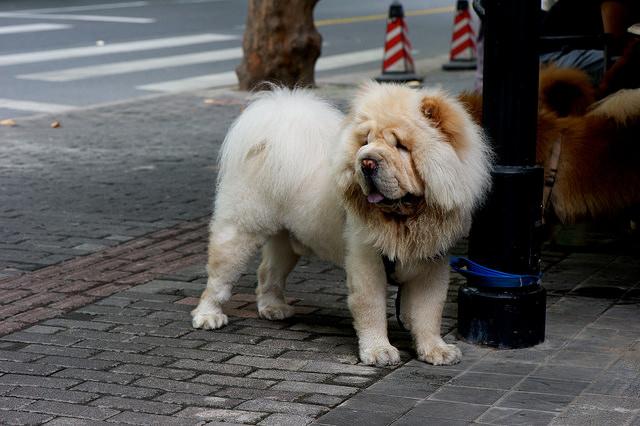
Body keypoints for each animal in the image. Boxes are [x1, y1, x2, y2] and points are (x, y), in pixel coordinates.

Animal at [190, 82, 490, 366]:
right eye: (365, 141)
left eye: (400, 146)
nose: (366, 161)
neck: (405, 218)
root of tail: (270, 136)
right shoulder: (367, 260)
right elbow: (371, 307)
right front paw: (379, 351)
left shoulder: (433, 263)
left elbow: (429, 311)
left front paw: (435, 350)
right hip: (240, 229)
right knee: (219, 276)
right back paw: (208, 316)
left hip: (287, 240)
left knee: (268, 272)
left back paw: (273, 308)